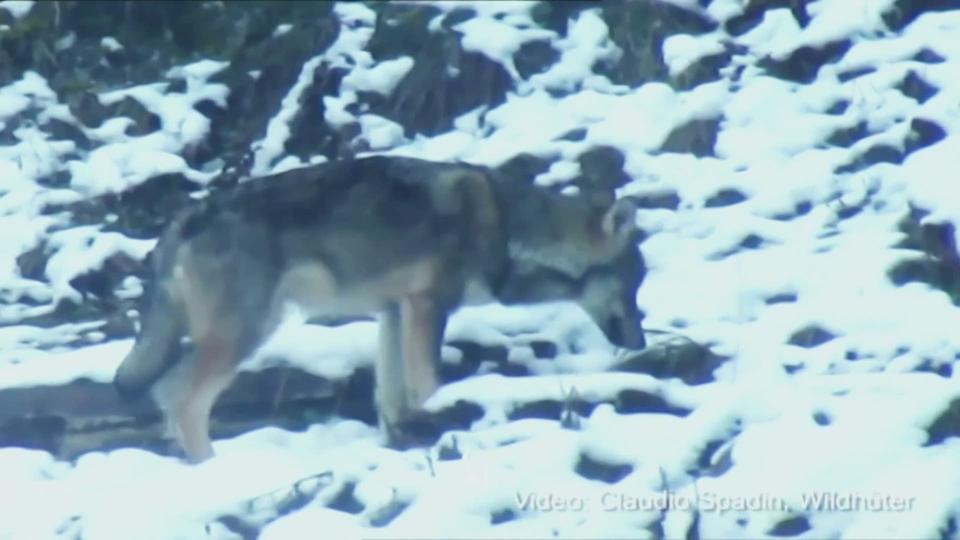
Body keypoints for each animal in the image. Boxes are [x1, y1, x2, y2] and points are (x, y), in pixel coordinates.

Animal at [116, 154, 648, 462]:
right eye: (633, 287)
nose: (642, 342)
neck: (509, 226)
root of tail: (183, 218)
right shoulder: (428, 307)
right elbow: (429, 384)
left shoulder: (394, 312)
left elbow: (392, 399)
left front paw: (405, 442)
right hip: (245, 334)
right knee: (182, 399)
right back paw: (213, 470)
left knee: (166, 396)